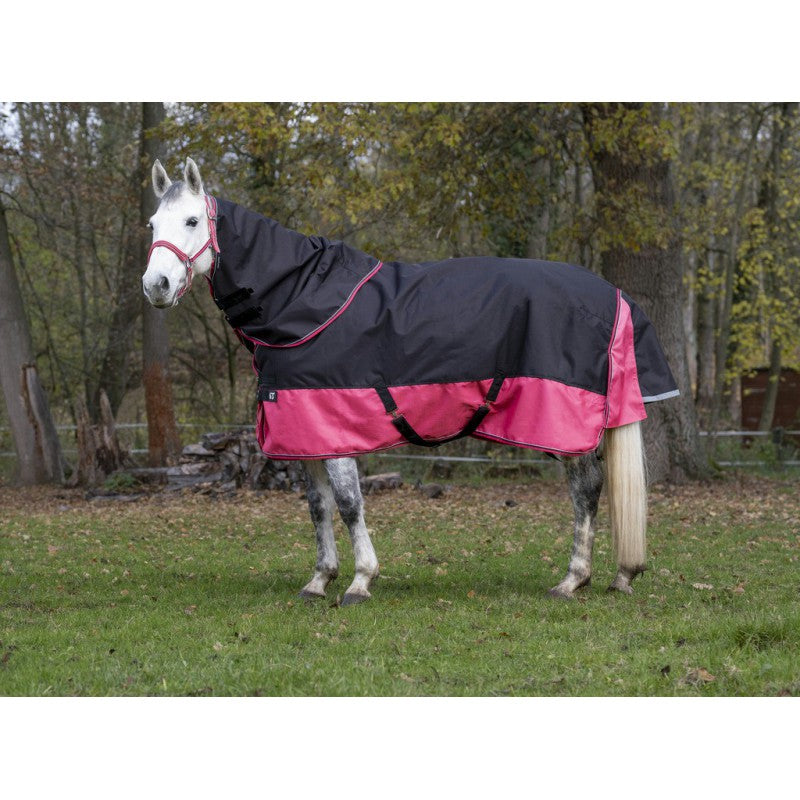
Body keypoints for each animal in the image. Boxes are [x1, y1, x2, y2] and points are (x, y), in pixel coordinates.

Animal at [142, 158, 679, 605]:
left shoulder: (335, 428)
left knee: (586, 488)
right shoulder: (307, 430)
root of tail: (612, 295)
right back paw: (617, 575)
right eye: (152, 225)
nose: (156, 286)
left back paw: (572, 580)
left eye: (192, 221)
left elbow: (349, 504)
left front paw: (360, 582)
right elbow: (317, 507)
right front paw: (319, 580)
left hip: (563, 424)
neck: (301, 300)